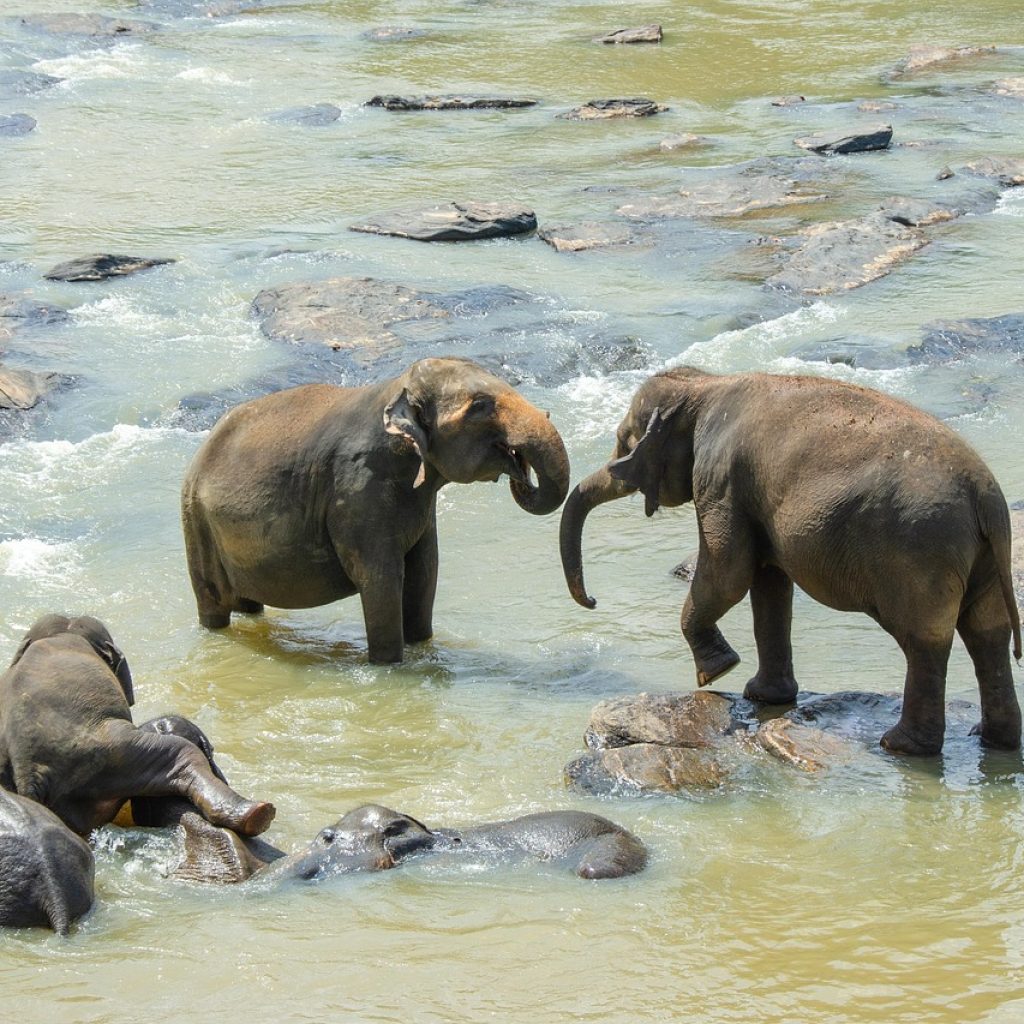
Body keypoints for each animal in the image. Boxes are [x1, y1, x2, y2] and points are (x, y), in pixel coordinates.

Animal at [181, 356, 570, 663]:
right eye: (479, 406)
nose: (518, 465)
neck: (396, 389)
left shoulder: (418, 502)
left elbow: (425, 571)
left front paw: (421, 647)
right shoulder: (357, 489)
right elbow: (381, 579)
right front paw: (389, 666)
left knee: (250, 605)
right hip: (196, 522)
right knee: (212, 604)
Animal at [560, 367, 1022, 756]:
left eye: (624, 441)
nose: (593, 601)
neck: (706, 384)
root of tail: (987, 496)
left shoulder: (721, 479)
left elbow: (728, 573)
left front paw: (717, 674)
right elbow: (768, 584)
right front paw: (762, 695)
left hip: (921, 552)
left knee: (926, 642)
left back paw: (901, 746)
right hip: (977, 557)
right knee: (988, 635)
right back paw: (991, 739)